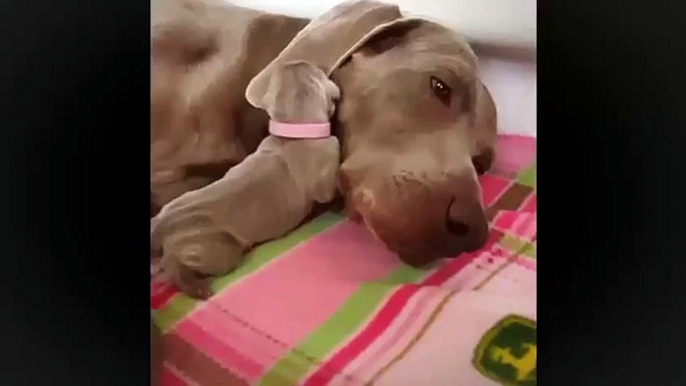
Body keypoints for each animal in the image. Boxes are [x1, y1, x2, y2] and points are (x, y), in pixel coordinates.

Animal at [153, 61, 342, 298]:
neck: (293, 130)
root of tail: (162, 224)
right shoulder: (323, 178)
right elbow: (330, 182)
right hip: (219, 251)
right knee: (172, 264)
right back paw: (195, 286)